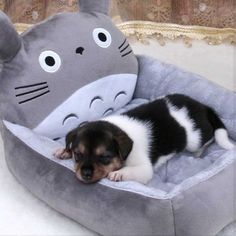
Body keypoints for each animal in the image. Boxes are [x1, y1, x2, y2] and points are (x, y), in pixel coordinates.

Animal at [54, 94, 234, 184]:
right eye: (78, 154)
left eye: (105, 157)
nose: (85, 174)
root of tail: (204, 107)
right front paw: (64, 150)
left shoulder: (144, 169)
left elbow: (132, 171)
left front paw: (118, 174)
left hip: (195, 139)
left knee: (208, 138)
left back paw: (198, 153)